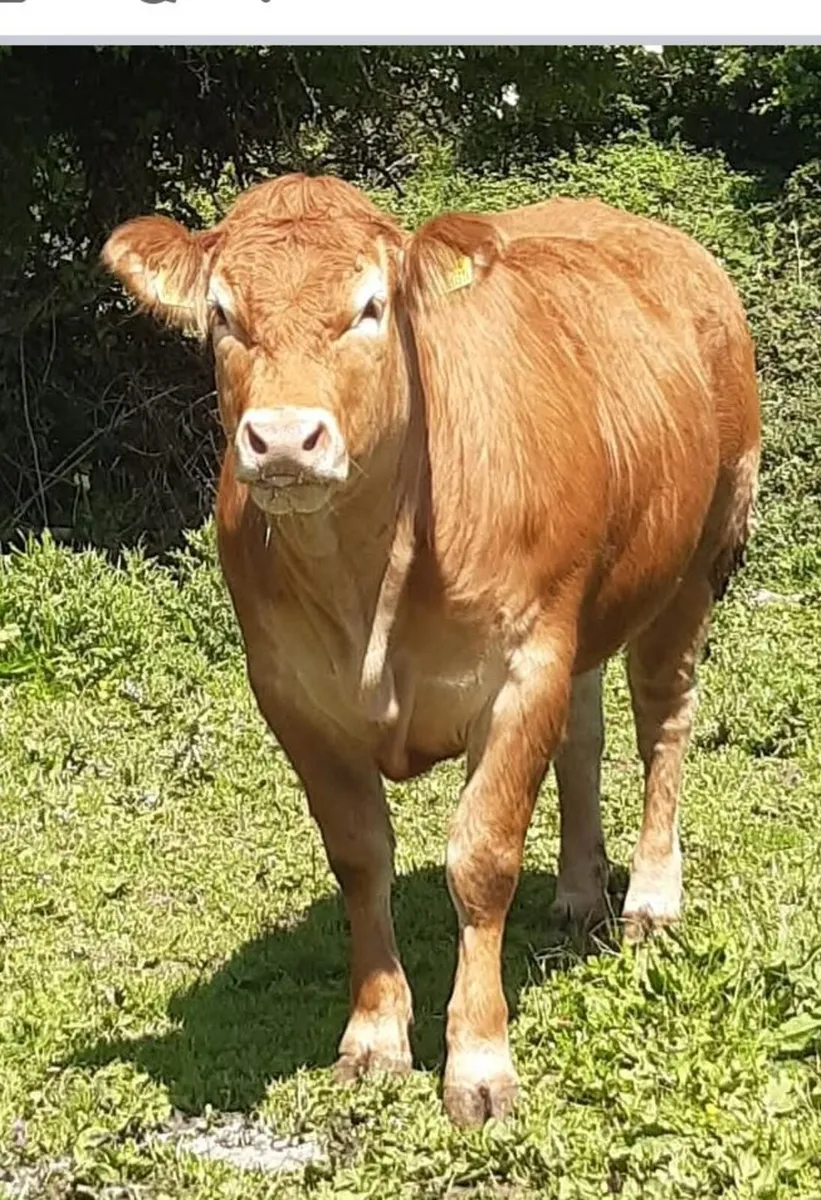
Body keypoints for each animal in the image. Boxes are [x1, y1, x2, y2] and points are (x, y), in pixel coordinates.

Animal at [102, 173, 761, 1128]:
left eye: (371, 307)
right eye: (223, 315)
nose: (284, 438)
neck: (366, 580)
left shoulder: (524, 666)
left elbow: (480, 858)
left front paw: (479, 1063)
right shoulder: (291, 693)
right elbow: (358, 855)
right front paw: (375, 1037)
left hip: (699, 556)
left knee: (662, 720)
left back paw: (648, 898)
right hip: (588, 614)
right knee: (584, 737)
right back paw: (577, 890)